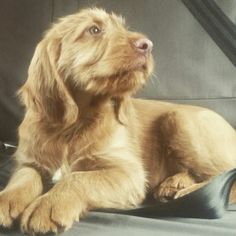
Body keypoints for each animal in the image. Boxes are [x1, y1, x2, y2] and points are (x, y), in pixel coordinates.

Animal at [0, 7, 236, 234]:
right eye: (94, 30)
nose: (147, 45)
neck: (74, 125)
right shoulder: (29, 161)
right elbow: (24, 176)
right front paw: (7, 200)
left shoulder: (129, 173)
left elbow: (77, 177)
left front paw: (48, 205)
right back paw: (174, 183)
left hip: (180, 120)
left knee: (227, 176)